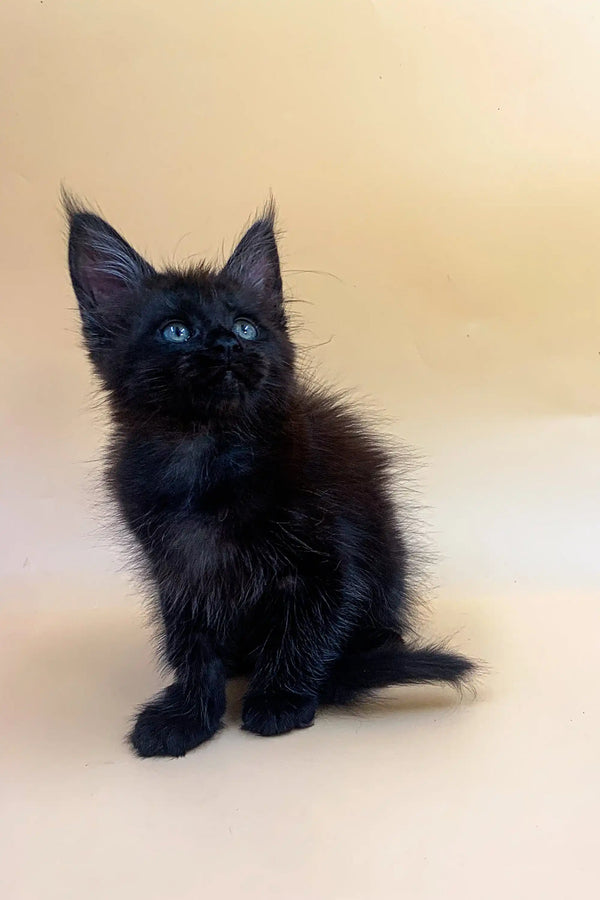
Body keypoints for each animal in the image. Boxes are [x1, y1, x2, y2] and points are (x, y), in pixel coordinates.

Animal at [64, 193, 474, 756]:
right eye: (176, 330)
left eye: (245, 326)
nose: (227, 345)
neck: (208, 456)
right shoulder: (180, 570)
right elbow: (189, 642)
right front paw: (187, 712)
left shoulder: (326, 561)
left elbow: (305, 630)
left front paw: (279, 698)